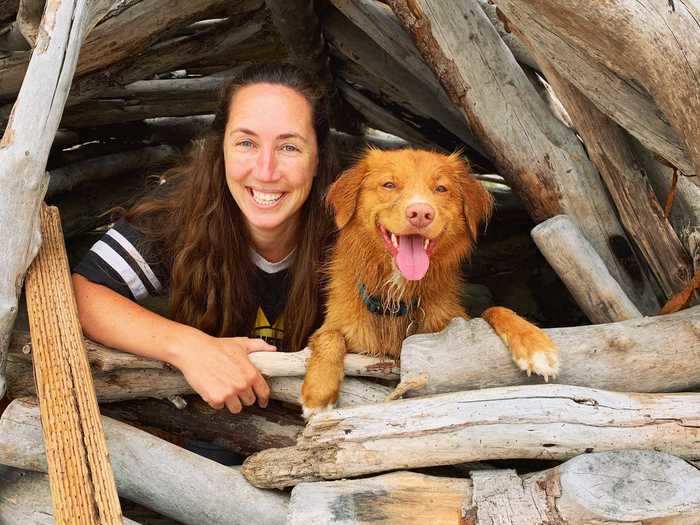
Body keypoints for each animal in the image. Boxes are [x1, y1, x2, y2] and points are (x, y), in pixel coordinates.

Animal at [300, 148, 556, 418]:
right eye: (389, 184)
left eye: (441, 189)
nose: (421, 213)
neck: (397, 298)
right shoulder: (341, 328)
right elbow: (329, 336)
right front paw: (318, 392)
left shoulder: (455, 321)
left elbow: (496, 309)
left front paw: (535, 345)